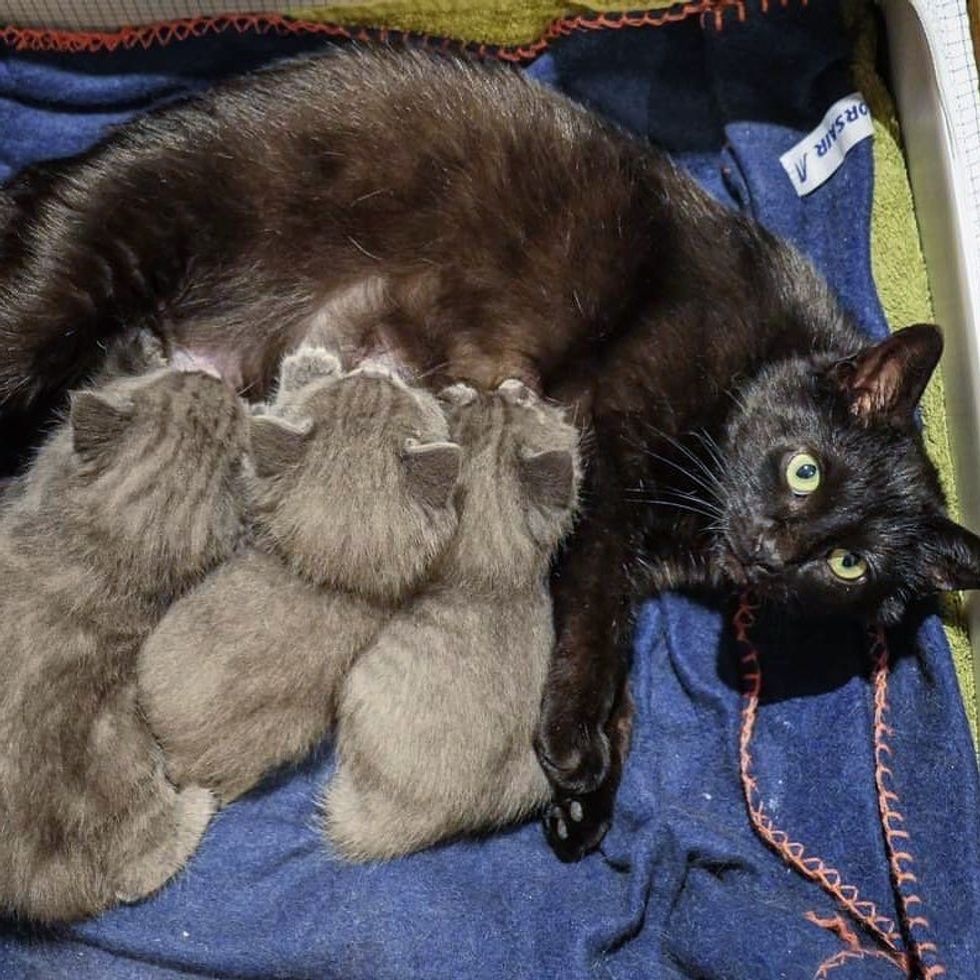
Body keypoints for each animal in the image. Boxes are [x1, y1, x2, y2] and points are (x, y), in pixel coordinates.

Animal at [136, 344, 462, 804]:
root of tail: (175, 759)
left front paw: (308, 363)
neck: (331, 572)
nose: (375, 369)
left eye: (402, 389)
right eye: (346, 383)